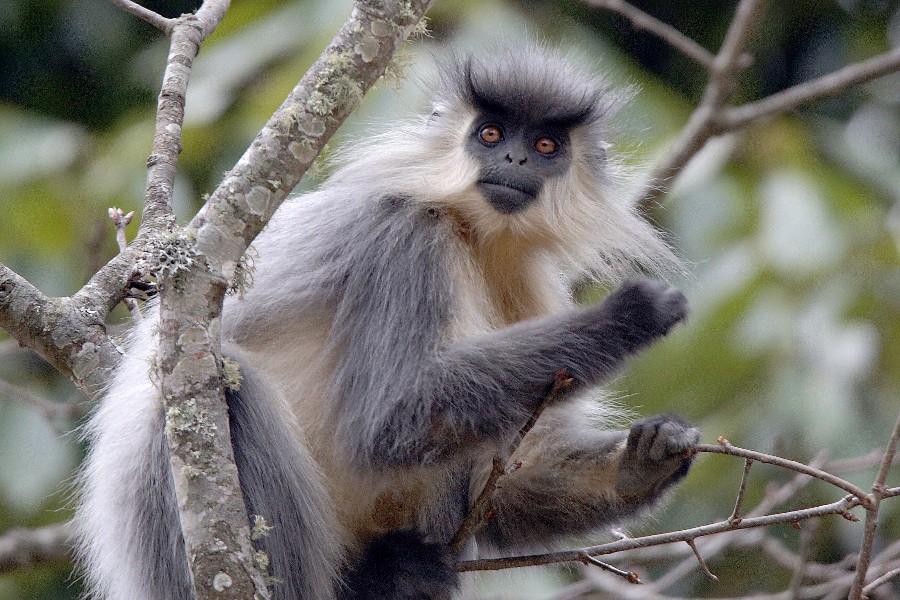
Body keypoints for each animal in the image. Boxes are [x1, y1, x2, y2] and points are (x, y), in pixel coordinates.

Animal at [73, 45, 700, 600]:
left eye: (546, 145)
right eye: (491, 135)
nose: (515, 160)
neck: (474, 235)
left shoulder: (531, 285)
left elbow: (508, 483)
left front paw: (646, 462)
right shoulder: (404, 236)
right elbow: (388, 417)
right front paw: (629, 314)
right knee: (231, 387)